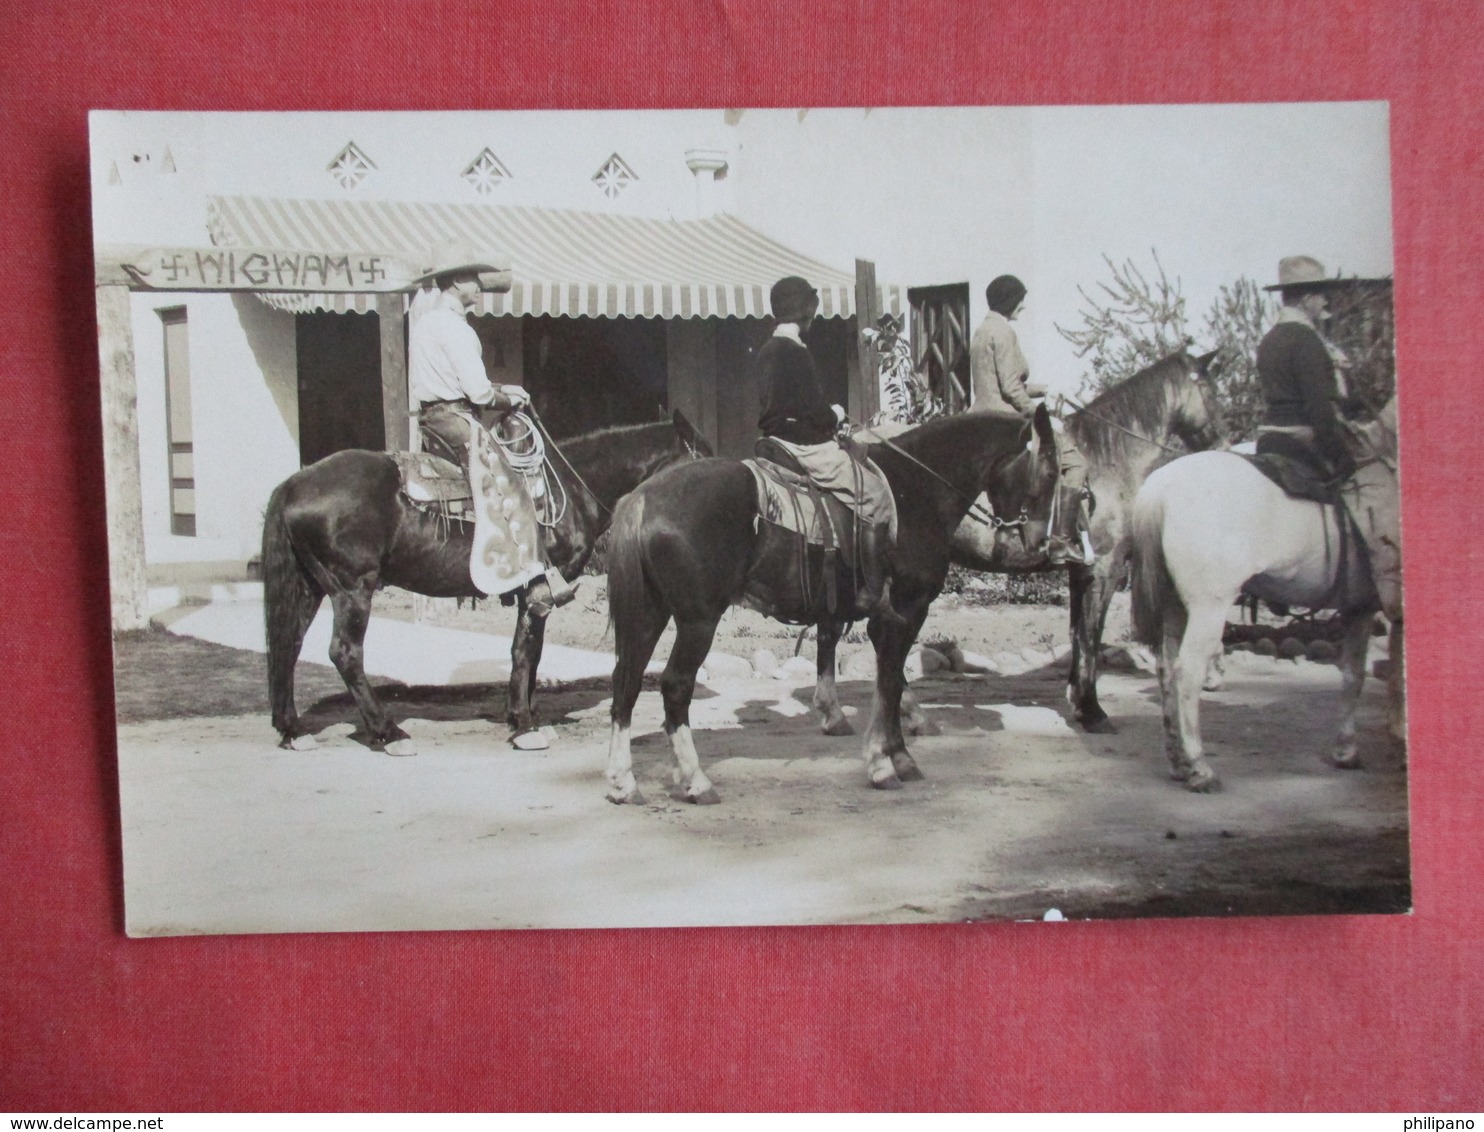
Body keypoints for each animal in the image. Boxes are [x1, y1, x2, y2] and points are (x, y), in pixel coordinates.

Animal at [264, 412, 709, 756]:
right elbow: (524, 653)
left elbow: (531, 653)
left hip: (311, 585)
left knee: (288, 644)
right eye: (703, 458)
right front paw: (525, 726)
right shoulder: (538, 591)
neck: (571, 490)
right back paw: (388, 733)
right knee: (345, 653)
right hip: (353, 587)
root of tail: (294, 483)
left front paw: (525, 716)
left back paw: (293, 731)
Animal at [599, 403, 1056, 801]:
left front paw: (898, 755)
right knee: (675, 686)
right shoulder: (907, 608)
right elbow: (889, 682)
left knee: (627, 681)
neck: (916, 491)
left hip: (649, 614)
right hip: (698, 621)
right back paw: (696, 781)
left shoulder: (886, 617)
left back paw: (623, 781)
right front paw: (883, 764)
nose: (1038, 543)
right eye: (1051, 470)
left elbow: (890, 679)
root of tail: (643, 498)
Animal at [1127, 403, 1394, 795]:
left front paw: (1347, 749)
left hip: (1176, 607)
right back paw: (1199, 767)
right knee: (1187, 672)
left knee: (1166, 670)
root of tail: (1160, 487)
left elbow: (1352, 673)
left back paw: (1178, 761)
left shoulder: (1358, 608)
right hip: (1209, 607)